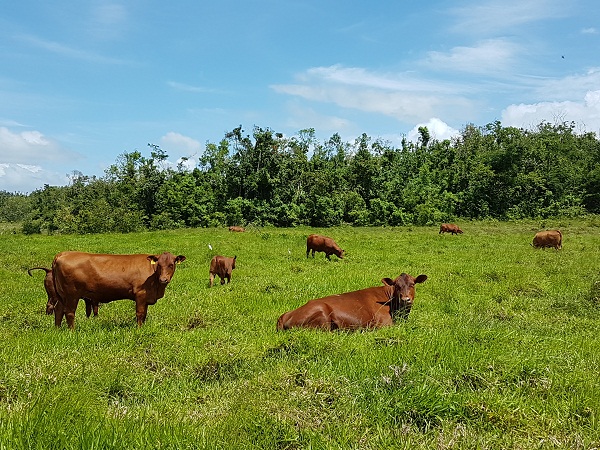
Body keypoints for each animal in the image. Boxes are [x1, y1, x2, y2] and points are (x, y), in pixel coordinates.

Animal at [51, 251, 185, 328]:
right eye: (159, 265)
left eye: (171, 265)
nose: (164, 279)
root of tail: (64, 254)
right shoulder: (140, 294)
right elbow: (140, 313)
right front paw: (139, 329)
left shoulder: (147, 297)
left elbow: (145, 314)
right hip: (72, 294)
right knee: (69, 312)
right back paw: (72, 331)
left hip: (62, 295)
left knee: (59, 310)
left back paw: (58, 329)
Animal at [276, 270, 426, 330]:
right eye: (396, 285)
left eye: (412, 284)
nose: (405, 299)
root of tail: (285, 314)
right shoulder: (384, 325)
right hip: (322, 315)